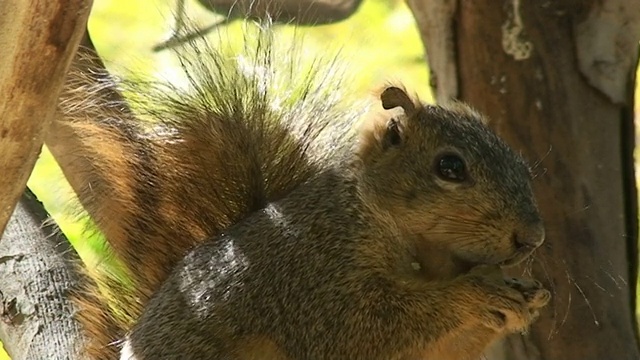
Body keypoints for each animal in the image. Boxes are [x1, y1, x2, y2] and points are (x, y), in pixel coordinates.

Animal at [48, 18, 552, 360]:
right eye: (450, 166)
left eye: (519, 162)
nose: (532, 239)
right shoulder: (314, 273)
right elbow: (366, 326)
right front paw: (478, 294)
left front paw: (527, 299)